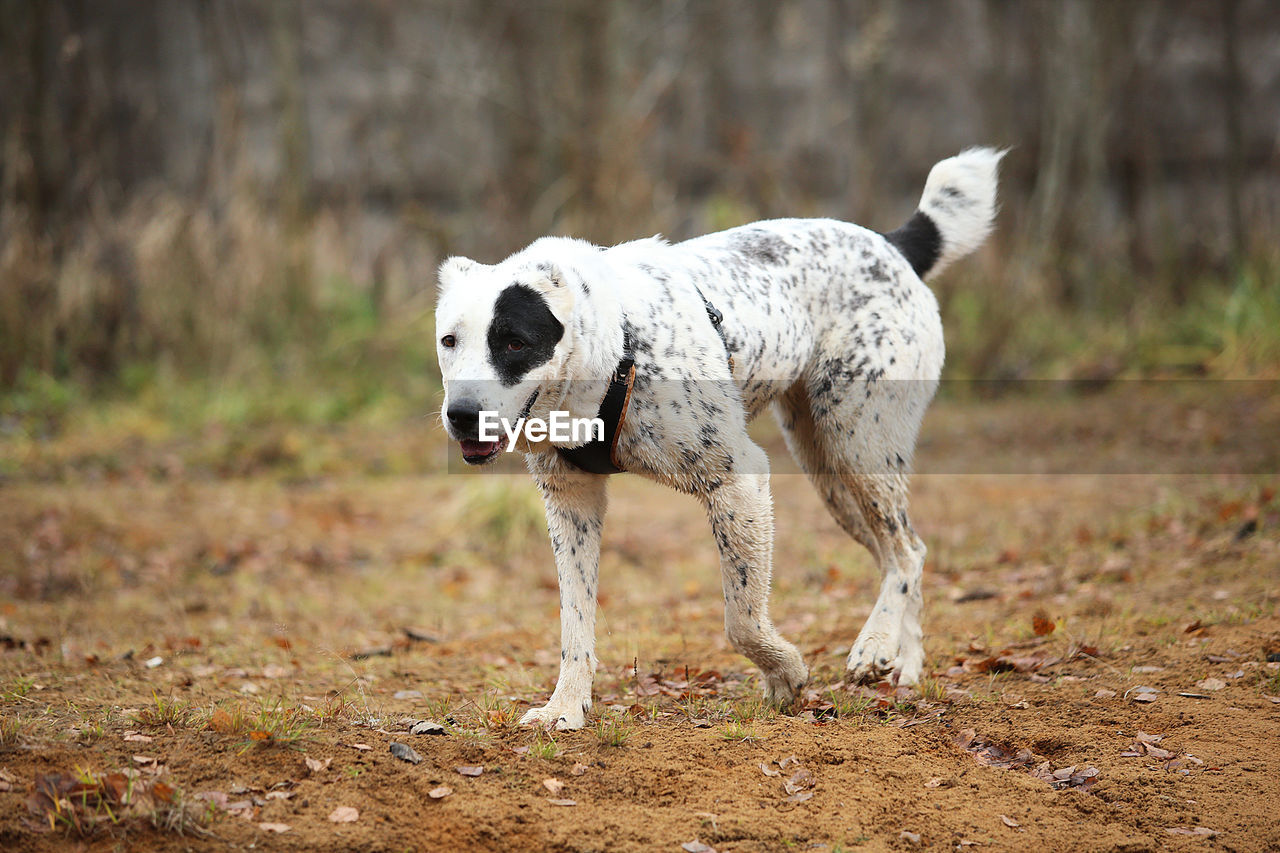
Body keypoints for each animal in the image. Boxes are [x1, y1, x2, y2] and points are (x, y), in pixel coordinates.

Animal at [435, 146, 1003, 722]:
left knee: (906, 551)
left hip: (859, 442)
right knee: (901, 553)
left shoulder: (740, 480)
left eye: (514, 342)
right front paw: (566, 709)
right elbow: (575, 622)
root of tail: (894, 244)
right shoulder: (572, 503)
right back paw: (903, 662)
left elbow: (742, 620)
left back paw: (874, 646)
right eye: (449, 340)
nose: (459, 414)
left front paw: (786, 672)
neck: (618, 345)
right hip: (829, 473)